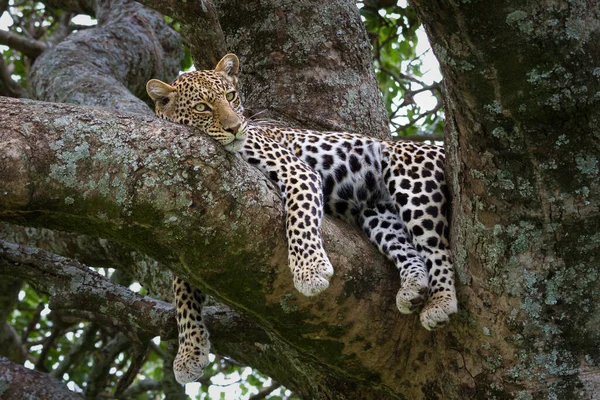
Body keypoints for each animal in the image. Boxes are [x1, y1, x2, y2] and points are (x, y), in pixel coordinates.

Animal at [148, 54, 458, 384]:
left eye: (231, 96)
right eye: (202, 107)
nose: (235, 128)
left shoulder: (296, 170)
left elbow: (300, 218)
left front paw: (310, 271)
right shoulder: (188, 228)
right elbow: (182, 289)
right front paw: (189, 351)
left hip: (407, 173)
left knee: (438, 249)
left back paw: (440, 301)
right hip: (377, 215)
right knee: (410, 250)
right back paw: (414, 288)